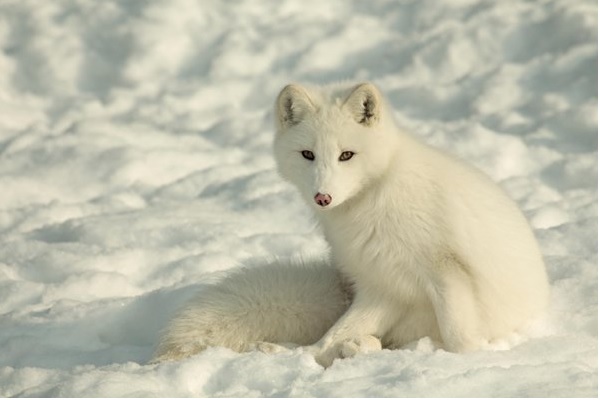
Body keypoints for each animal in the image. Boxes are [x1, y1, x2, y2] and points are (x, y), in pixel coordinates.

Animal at [154, 81, 548, 366]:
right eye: (308, 154)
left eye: (347, 155)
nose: (323, 198)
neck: (376, 199)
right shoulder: (382, 283)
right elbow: (333, 334)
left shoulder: (446, 272)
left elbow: (459, 339)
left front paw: (468, 362)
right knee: (329, 341)